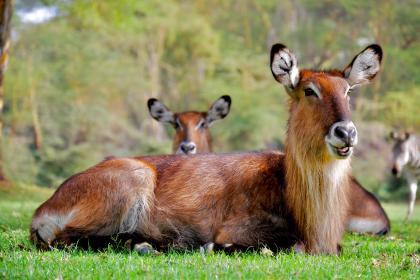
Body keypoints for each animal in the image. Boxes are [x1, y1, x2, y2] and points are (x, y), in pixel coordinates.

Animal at [29, 42, 382, 255]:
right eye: (309, 91)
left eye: (348, 91)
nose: (346, 132)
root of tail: (43, 207)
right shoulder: (235, 230)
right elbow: (280, 244)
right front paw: (206, 246)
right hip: (133, 177)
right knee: (65, 240)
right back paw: (147, 244)